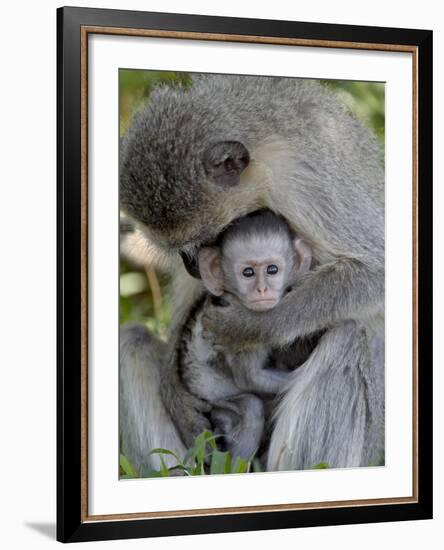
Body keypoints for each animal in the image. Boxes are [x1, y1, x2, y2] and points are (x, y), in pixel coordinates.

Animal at [178, 211, 312, 462]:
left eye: (272, 270)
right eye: (247, 273)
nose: (261, 290)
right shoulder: (242, 330)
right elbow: (250, 378)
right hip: (216, 400)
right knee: (251, 407)